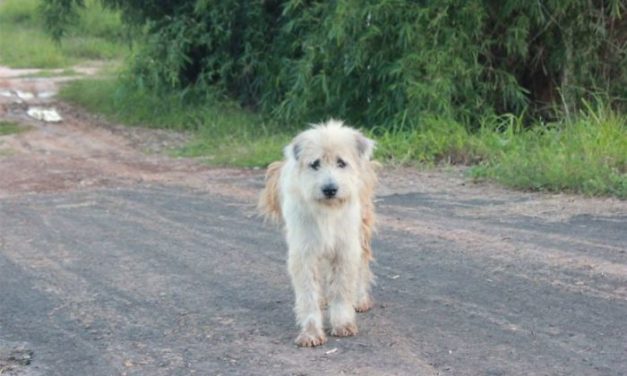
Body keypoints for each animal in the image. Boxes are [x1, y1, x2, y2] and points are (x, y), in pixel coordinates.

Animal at [258, 119, 378, 346]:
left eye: (341, 163)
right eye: (315, 164)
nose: (330, 189)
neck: (327, 211)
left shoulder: (345, 248)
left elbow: (341, 289)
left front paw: (342, 323)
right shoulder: (304, 251)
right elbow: (308, 294)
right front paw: (311, 332)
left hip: (362, 230)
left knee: (362, 267)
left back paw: (360, 299)